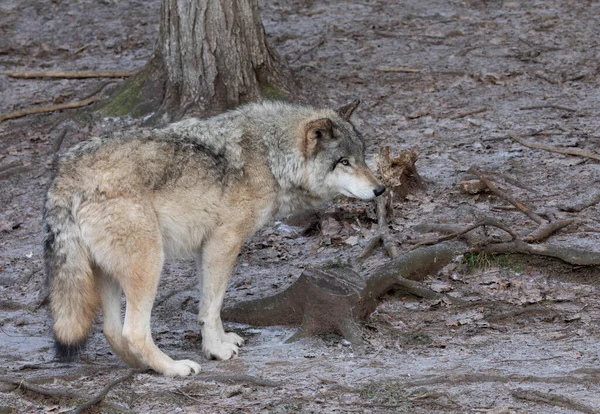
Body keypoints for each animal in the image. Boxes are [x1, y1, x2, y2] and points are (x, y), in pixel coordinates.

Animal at [44, 99, 386, 376]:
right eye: (344, 162)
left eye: (362, 157)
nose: (380, 189)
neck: (270, 156)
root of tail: (65, 173)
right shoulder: (225, 242)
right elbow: (212, 305)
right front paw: (216, 351)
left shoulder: (206, 248)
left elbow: (211, 305)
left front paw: (221, 341)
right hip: (150, 264)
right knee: (134, 332)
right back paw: (174, 368)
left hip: (108, 272)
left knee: (112, 332)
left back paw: (143, 366)